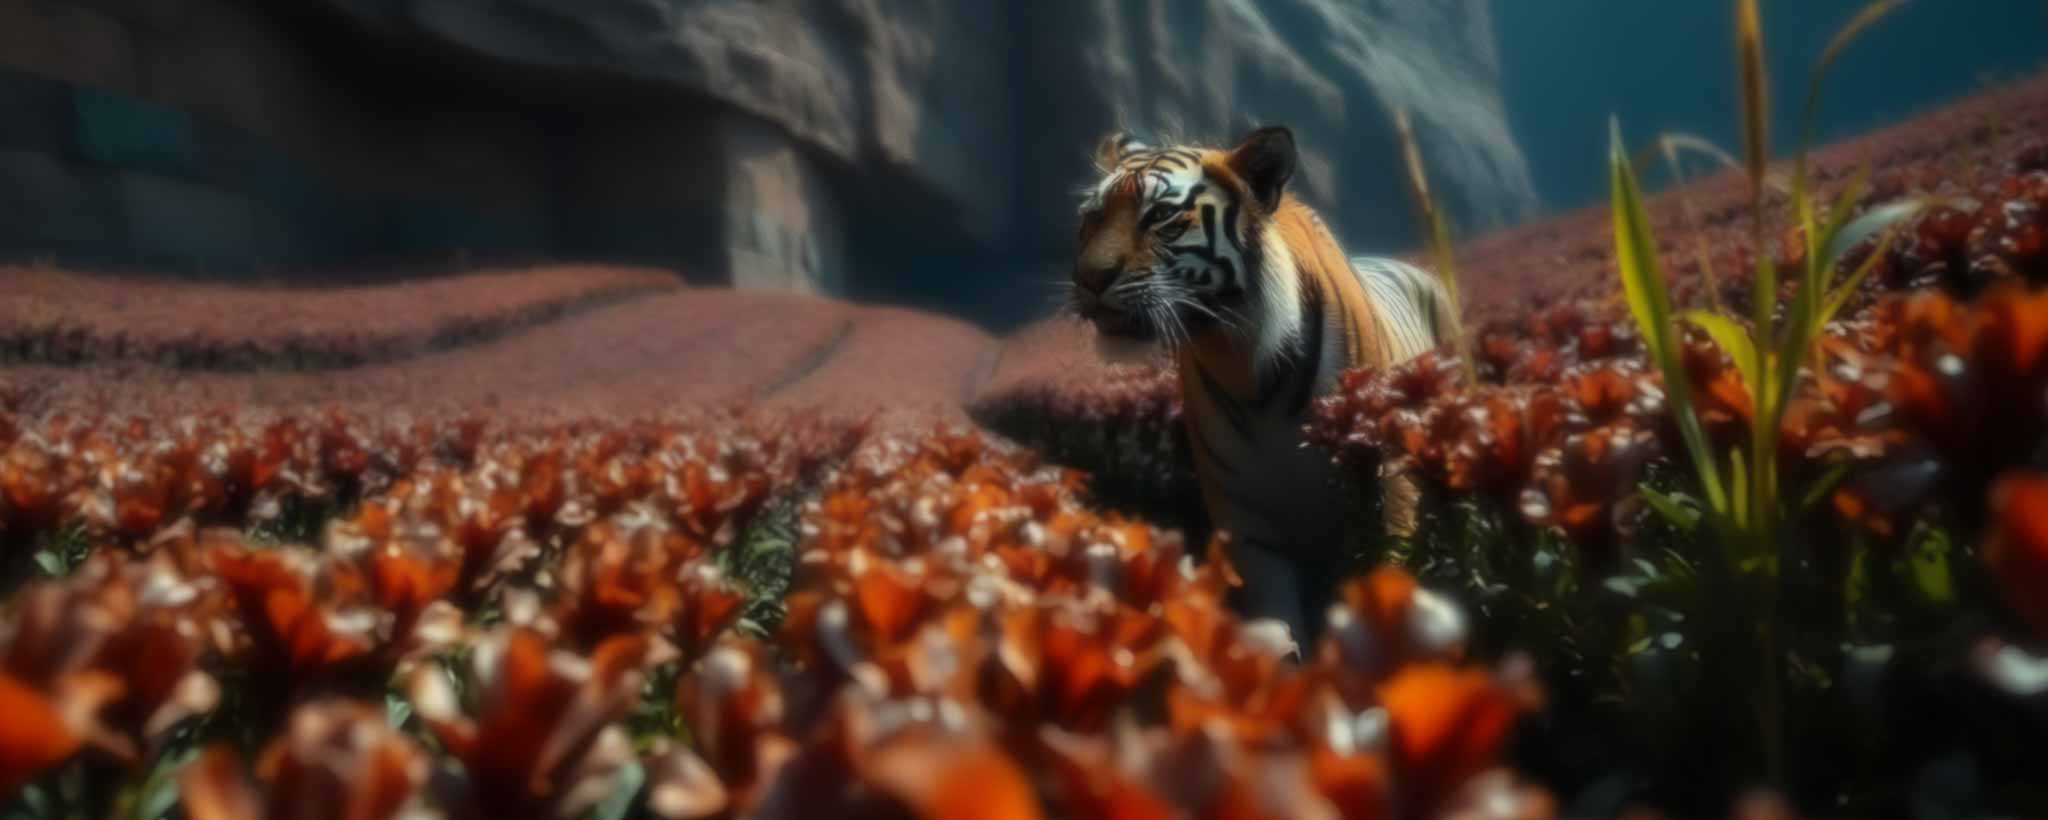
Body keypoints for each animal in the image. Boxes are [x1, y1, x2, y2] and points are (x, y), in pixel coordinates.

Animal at [1069, 125, 1458, 642]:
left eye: (1161, 216)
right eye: (1093, 217)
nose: (1089, 279)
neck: (1243, 359)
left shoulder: (1389, 492)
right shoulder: (1246, 527)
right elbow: (1277, 629)